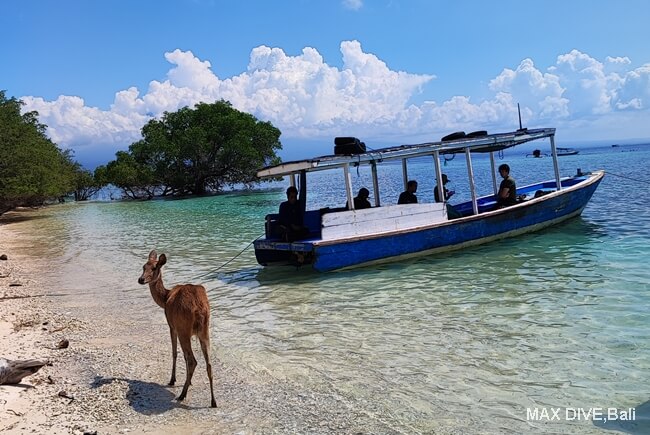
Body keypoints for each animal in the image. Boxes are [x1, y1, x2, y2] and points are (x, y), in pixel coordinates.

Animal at [138, 250, 216, 408]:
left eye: (154, 268)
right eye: (143, 266)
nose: (141, 279)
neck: (165, 298)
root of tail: (199, 309)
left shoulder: (171, 325)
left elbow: (175, 353)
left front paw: (173, 380)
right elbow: (184, 356)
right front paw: (189, 382)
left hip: (183, 329)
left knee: (193, 360)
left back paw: (182, 395)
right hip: (204, 330)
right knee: (209, 363)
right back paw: (213, 401)